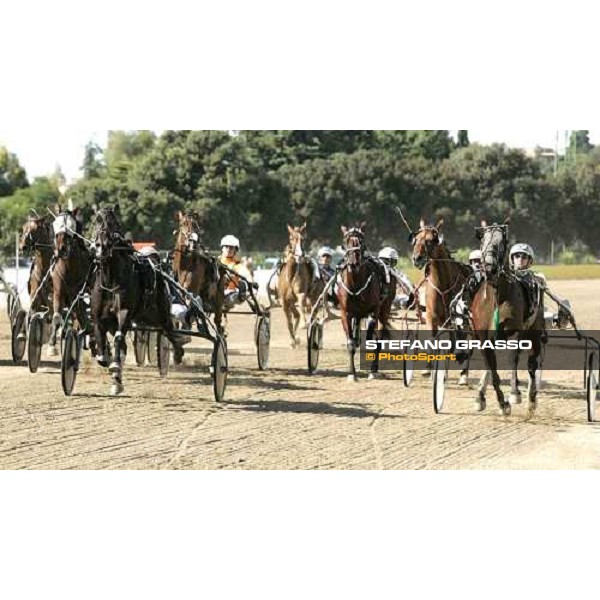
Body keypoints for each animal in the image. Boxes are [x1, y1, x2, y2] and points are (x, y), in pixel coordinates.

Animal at [90, 209, 182, 396]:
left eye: (114, 224)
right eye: (96, 221)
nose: (101, 245)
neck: (110, 282)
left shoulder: (124, 313)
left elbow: (119, 339)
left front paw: (115, 367)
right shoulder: (99, 319)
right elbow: (102, 348)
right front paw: (108, 362)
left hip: (159, 314)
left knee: (169, 331)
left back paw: (177, 352)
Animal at [332, 223, 394, 382]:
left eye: (361, 241)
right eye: (346, 241)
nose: (354, 262)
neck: (355, 284)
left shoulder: (373, 312)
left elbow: (372, 340)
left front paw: (371, 371)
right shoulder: (346, 313)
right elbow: (351, 343)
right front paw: (352, 374)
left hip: (384, 311)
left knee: (379, 338)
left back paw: (374, 369)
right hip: (358, 315)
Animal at [472, 221, 548, 418]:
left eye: (501, 242)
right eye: (483, 241)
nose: (488, 266)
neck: (497, 296)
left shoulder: (515, 331)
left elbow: (513, 359)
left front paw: (514, 394)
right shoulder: (483, 336)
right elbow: (491, 367)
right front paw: (501, 403)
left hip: (534, 331)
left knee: (531, 363)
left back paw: (530, 399)